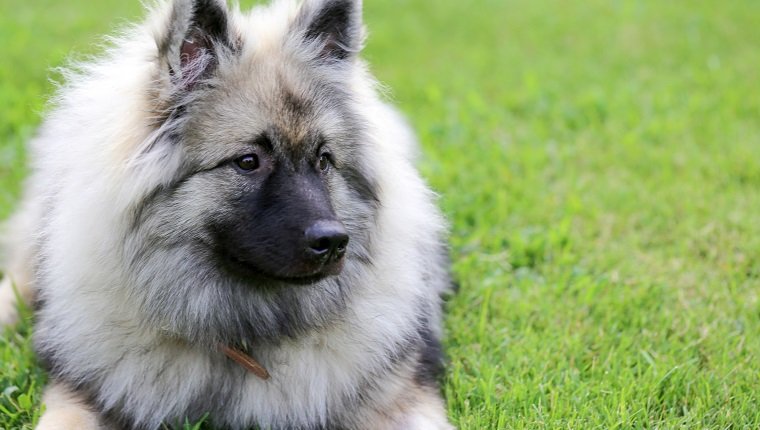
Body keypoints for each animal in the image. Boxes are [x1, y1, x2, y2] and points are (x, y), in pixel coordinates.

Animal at [0, 0, 452, 428]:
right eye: (248, 162)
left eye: (324, 160)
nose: (334, 241)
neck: (240, 331)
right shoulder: (79, 393)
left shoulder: (401, 395)